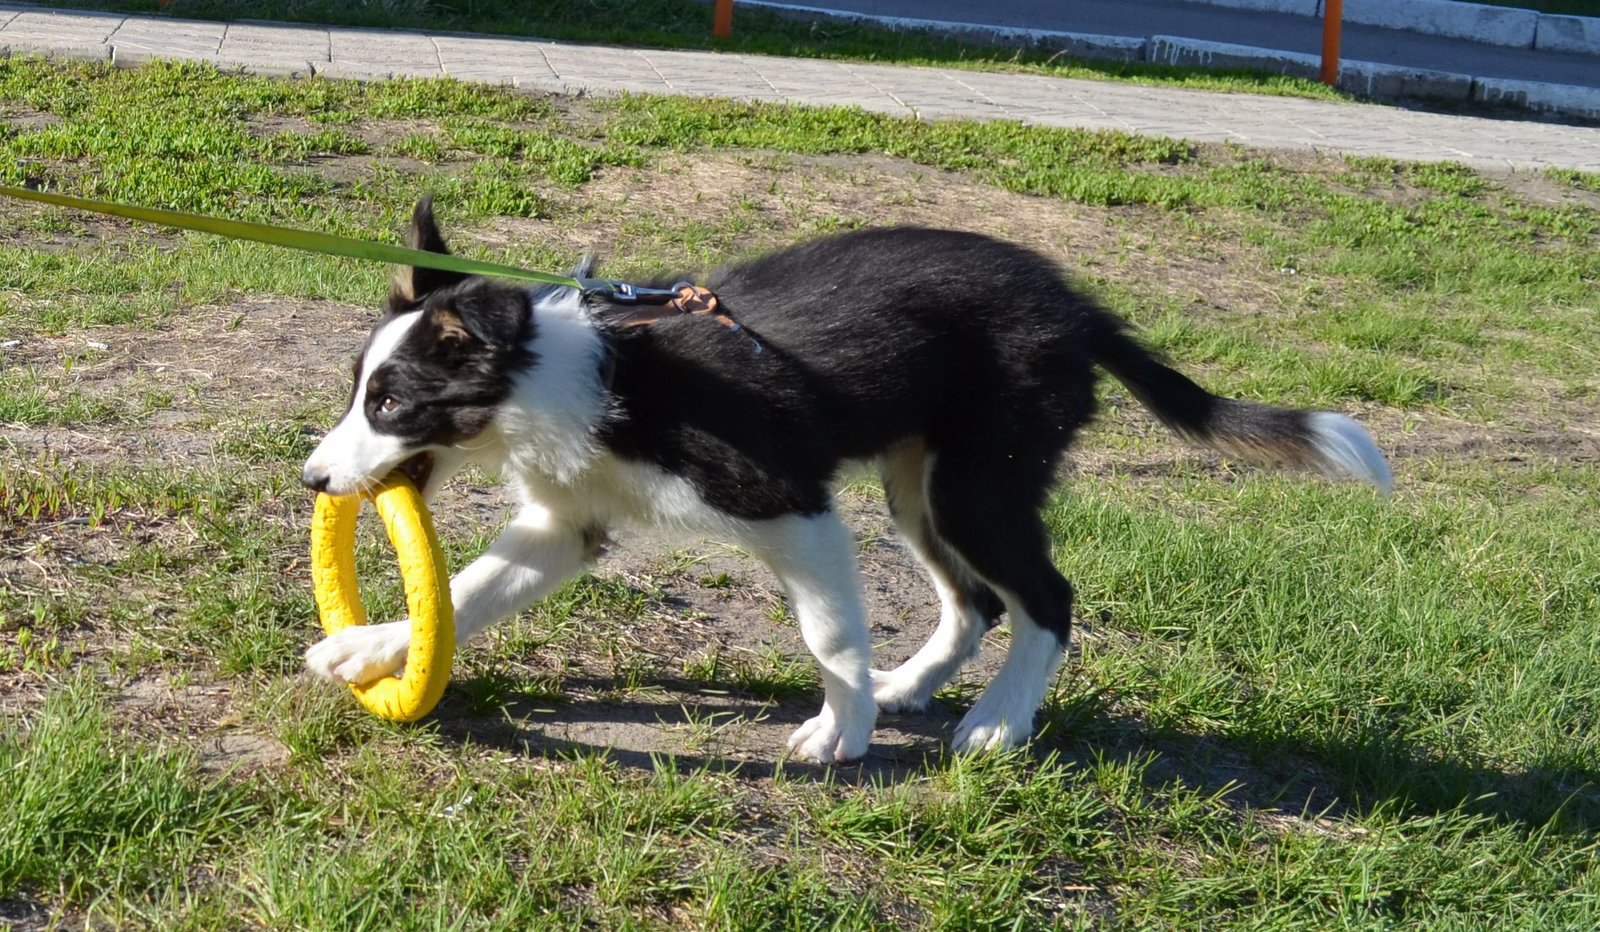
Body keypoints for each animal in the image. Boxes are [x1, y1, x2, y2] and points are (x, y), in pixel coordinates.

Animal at [300, 200, 1388, 762]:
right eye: (361, 391)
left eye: (390, 404)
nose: (314, 478)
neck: (586, 377)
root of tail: (1082, 311)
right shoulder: (565, 523)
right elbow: (468, 591)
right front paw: (371, 647)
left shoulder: (792, 502)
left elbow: (827, 633)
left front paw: (840, 730)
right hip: (920, 485)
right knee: (975, 601)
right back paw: (912, 686)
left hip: (978, 480)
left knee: (1044, 596)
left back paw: (996, 722)